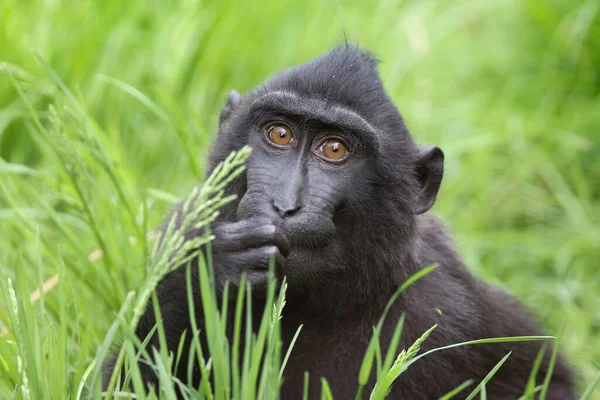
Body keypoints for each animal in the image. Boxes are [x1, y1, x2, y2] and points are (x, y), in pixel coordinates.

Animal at [103, 45, 576, 398]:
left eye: (334, 149)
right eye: (280, 134)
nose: (284, 205)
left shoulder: (442, 318)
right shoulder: (183, 226)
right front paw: (206, 274)